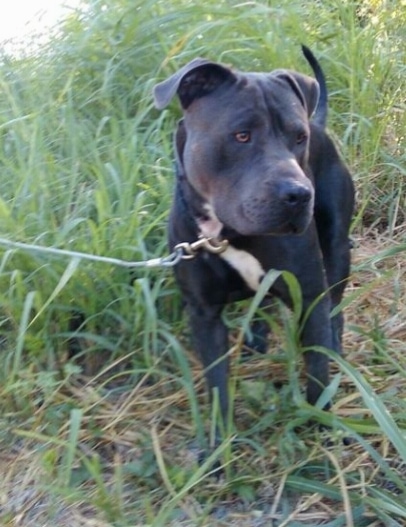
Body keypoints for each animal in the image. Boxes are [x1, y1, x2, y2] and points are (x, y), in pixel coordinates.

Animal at [154, 46, 354, 442]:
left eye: (299, 138)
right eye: (241, 135)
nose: (299, 194)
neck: (224, 234)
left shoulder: (309, 292)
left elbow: (316, 362)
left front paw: (320, 422)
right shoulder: (203, 314)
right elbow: (216, 381)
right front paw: (218, 443)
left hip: (338, 246)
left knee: (334, 304)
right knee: (263, 302)